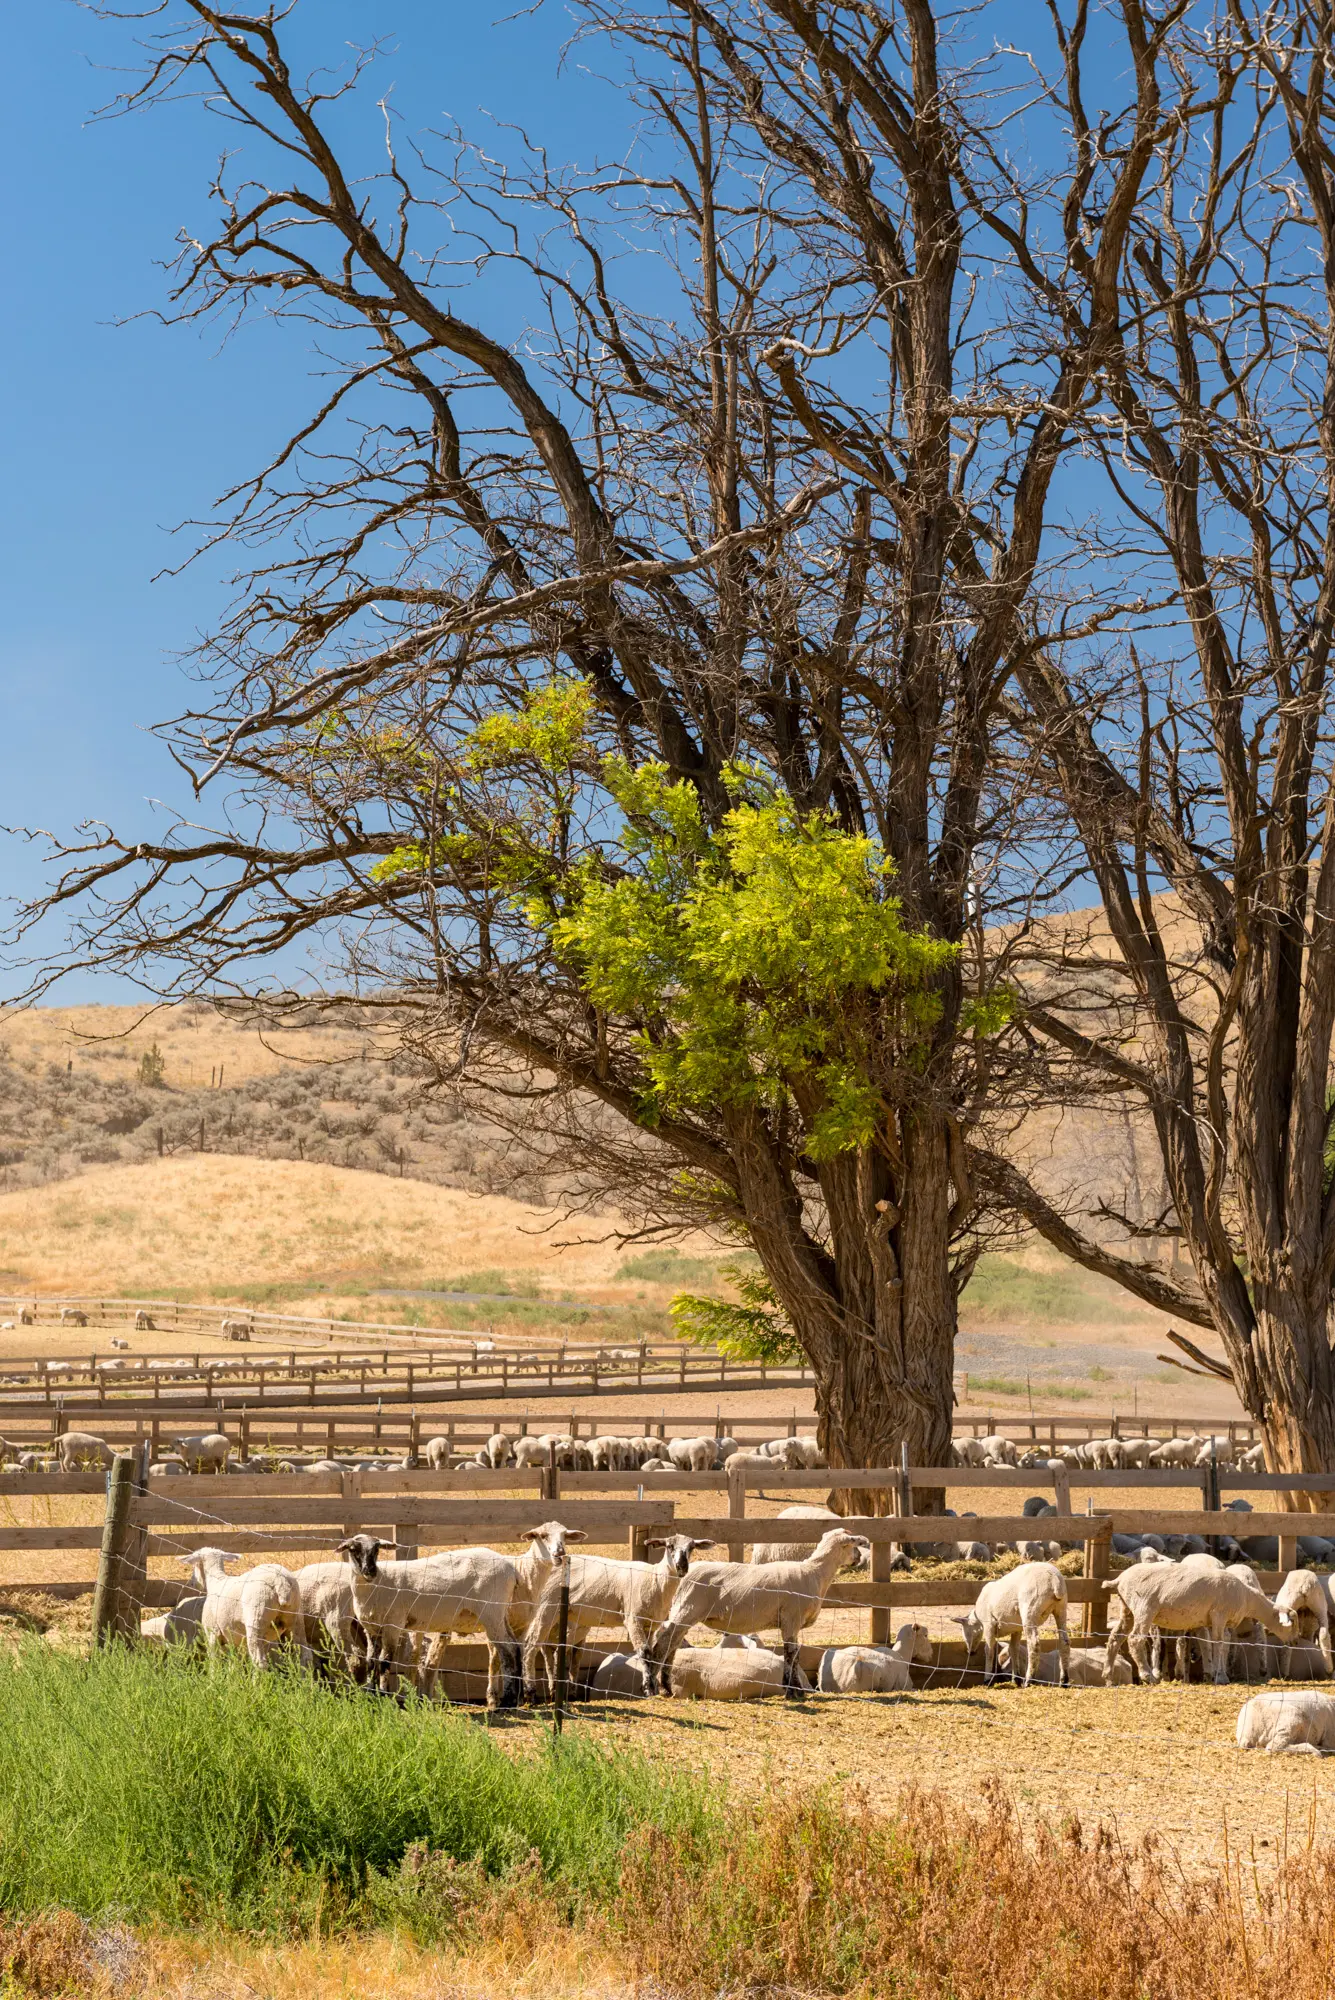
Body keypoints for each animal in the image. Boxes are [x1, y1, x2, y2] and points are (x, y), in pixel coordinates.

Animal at [178, 1548, 310, 1669]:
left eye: (195, 1565)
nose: (192, 1583)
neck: (216, 1582)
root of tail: (281, 1583)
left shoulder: (212, 1632)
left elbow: (214, 1662)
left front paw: (213, 1678)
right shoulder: (235, 1639)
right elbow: (234, 1662)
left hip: (256, 1618)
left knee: (259, 1662)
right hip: (296, 1619)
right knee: (305, 1654)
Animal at [337, 1532, 522, 1709]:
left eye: (377, 1549)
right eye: (353, 1549)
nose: (370, 1570)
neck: (376, 1586)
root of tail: (511, 1569)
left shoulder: (393, 1625)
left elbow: (384, 1662)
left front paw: (383, 1696)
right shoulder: (371, 1629)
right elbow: (371, 1662)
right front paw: (371, 1695)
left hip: (491, 1611)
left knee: (508, 1650)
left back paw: (509, 1700)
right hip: (501, 1614)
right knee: (515, 1645)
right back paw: (512, 1697)